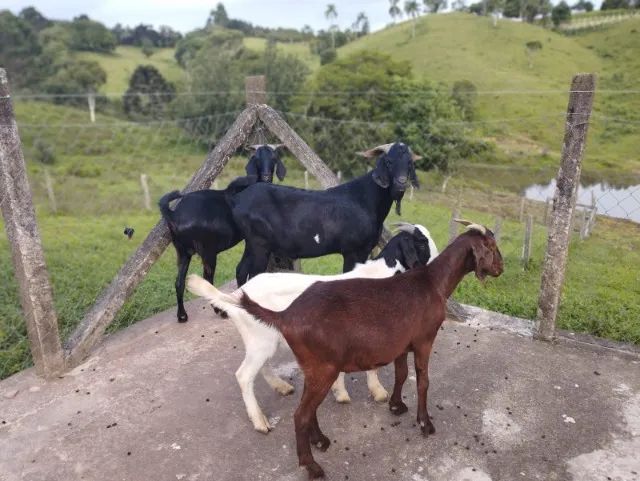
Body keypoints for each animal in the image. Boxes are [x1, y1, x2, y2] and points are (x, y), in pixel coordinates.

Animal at [159, 144, 287, 322]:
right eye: (256, 159)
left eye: (274, 159)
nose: (267, 176)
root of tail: (174, 215)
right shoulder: (252, 239)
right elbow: (244, 270)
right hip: (208, 252)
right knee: (208, 280)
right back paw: (220, 311)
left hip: (183, 251)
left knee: (179, 282)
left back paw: (182, 316)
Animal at [186, 223, 438, 434]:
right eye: (422, 242)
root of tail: (236, 295)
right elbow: (372, 366)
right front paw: (378, 392)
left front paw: (341, 392)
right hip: (261, 340)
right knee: (244, 375)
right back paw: (260, 422)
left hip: (264, 339)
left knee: (261, 366)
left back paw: (281, 387)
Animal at [230, 142, 421, 286]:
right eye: (388, 162)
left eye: (409, 164)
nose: (401, 182)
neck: (364, 198)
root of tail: (239, 199)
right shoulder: (352, 250)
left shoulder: (365, 250)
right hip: (259, 243)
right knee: (253, 273)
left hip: (252, 242)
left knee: (241, 270)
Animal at [230, 220, 503, 478]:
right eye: (490, 247)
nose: (501, 269)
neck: (432, 281)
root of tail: (285, 315)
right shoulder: (425, 340)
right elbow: (423, 381)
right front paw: (425, 424)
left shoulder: (402, 344)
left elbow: (401, 374)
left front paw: (396, 405)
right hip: (317, 365)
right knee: (297, 413)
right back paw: (310, 465)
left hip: (312, 367)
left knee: (307, 407)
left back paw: (320, 440)